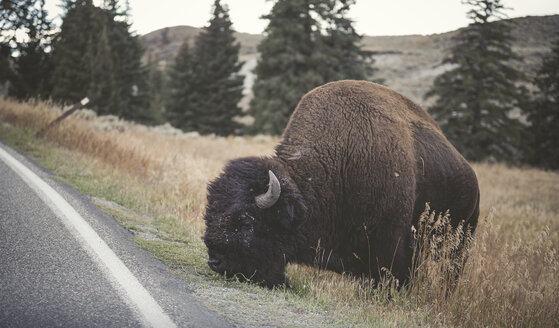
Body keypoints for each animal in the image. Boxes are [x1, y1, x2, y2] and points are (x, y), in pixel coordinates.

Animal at [203, 79, 480, 288]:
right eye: (210, 212)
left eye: (245, 221)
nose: (215, 261)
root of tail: (473, 178)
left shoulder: (392, 245)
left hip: (460, 242)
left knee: (451, 271)